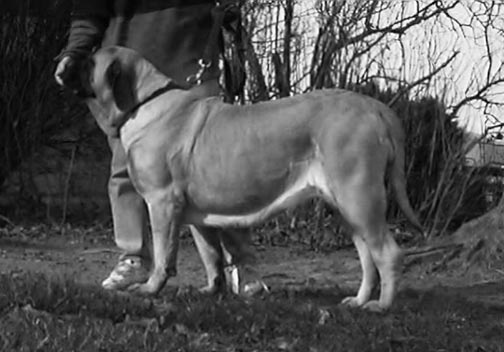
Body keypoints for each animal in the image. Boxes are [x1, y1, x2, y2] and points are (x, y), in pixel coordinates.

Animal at [80, 46, 424, 310]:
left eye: (91, 60)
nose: (69, 57)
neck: (145, 101)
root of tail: (375, 107)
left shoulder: (162, 202)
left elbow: (164, 255)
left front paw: (150, 289)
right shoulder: (196, 215)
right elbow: (211, 256)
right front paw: (211, 291)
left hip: (359, 197)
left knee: (388, 254)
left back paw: (381, 306)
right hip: (347, 207)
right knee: (368, 257)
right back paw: (358, 300)